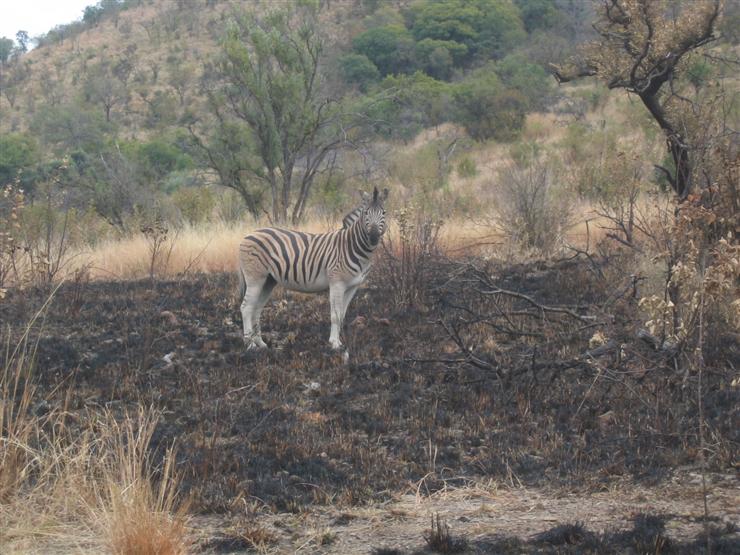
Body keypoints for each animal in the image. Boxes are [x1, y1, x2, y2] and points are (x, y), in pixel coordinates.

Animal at [237, 186, 389, 352]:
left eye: (384, 213)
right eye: (366, 212)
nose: (373, 237)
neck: (352, 246)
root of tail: (250, 234)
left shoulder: (353, 286)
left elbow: (342, 315)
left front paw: (340, 341)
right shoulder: (336, 283)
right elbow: (335, 315)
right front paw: (334, 344)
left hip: (268, 281)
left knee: (256, 309)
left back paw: (261, 343)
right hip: (255, 278)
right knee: (246, 308)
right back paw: (250, 345)